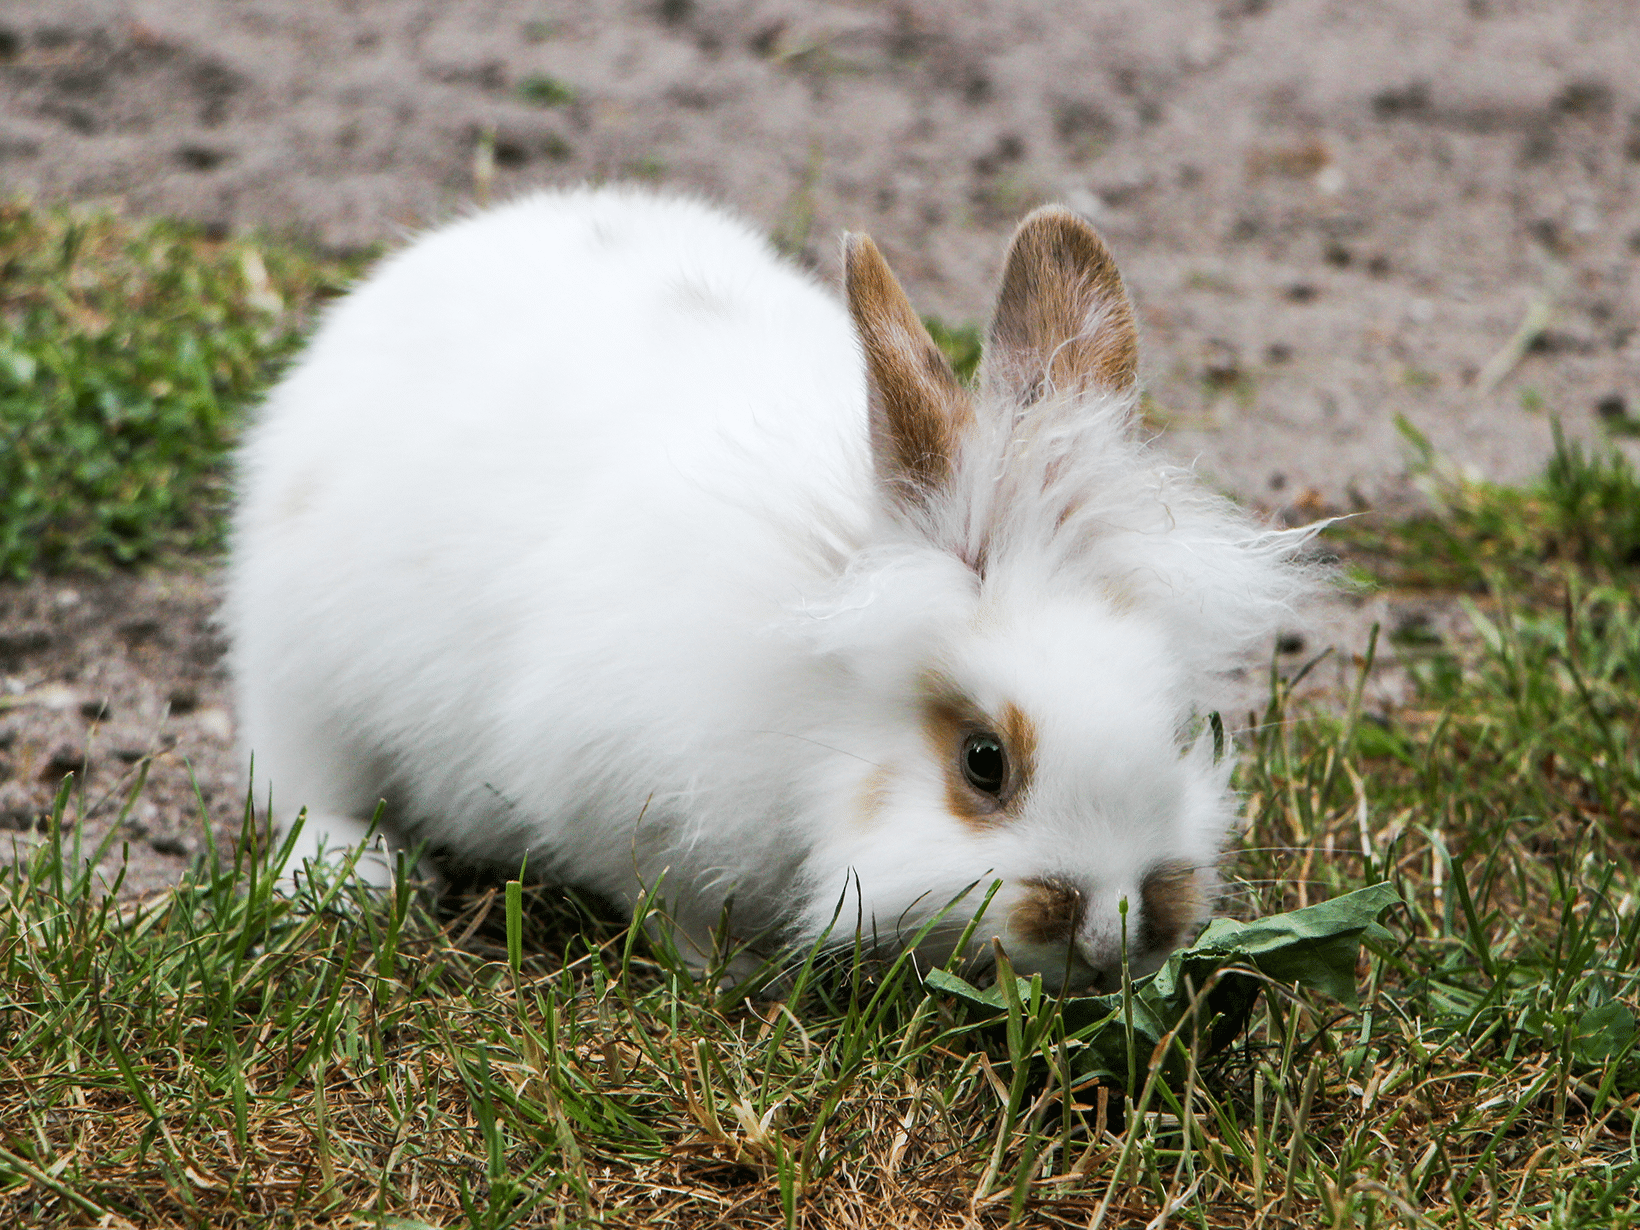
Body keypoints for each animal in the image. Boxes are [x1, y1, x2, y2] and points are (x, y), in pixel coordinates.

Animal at [227, 185, 1305, 990]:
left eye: (1175, 725)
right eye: (984, 763)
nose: (1113, 935)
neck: (819, 713)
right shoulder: (628, 803)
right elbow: (676, 911)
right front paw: (738, 981)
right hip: (300, 676)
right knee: (304, 784)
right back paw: (356, 875)